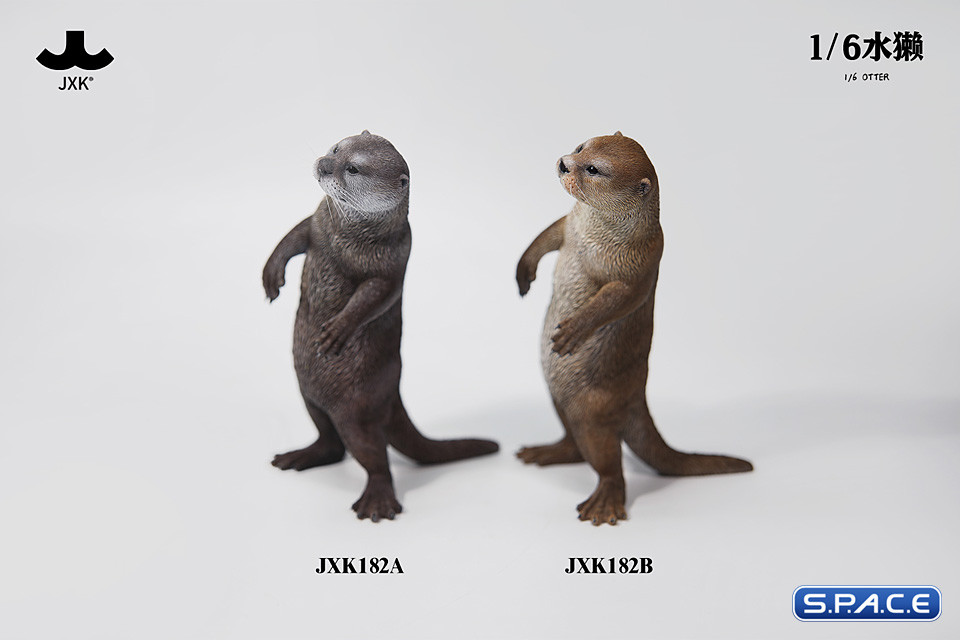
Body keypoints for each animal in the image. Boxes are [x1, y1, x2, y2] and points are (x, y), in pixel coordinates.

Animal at [263, 131, 498, 522]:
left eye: (354, 169)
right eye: (335, 149)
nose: (323, 165)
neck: (346, 239)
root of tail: (393, 395)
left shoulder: (393, 259)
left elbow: (376, 295)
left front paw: (337, 330)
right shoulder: (318, 223)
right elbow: (294, 236)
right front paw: (271, 275)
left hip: (357, 410)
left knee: (373, 456)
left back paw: (377, 501)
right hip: (308, 394)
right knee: (329, 440)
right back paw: (300, 456)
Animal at [516, 132, 752, 525]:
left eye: (594, 169)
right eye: (580, 147)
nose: (564, 163)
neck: (594, 238)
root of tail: (637, 397)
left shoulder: (638, 266)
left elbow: (615, 300)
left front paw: (571, 332)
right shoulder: (569, 225)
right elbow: (545, 237)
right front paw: (523, 273)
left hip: (594, 408)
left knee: (606, 459)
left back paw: (603, 503)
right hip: (558, 396)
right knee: (573, 441)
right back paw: (545, 452)